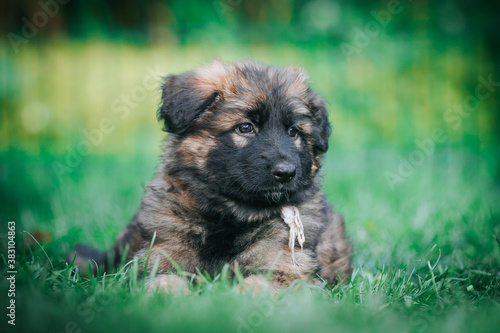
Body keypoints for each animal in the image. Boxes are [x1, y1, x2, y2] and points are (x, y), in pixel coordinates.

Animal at [75, 59, 356, 290]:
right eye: (246, 127)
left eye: (294, 132)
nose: (286, 173)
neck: (230, 214)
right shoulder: (160, 259)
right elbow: (165, 284)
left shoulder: (287, 271)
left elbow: (255, 287)